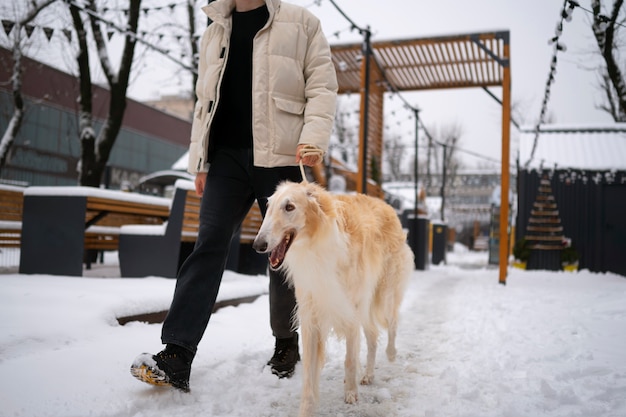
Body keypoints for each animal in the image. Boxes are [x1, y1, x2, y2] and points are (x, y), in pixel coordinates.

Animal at [251, 180, 412, 414]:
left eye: (289, 207)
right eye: (269, 206)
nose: (258, 245)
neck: (316, 245)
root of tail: (387, 205)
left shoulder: (349, 310)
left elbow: (350, 360)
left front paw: (351, 394)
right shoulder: (311, 316)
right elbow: (309, 375)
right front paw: (306, 409)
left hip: (384, 292)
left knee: (392, 322)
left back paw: (391, 354)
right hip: (365, 304)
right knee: (373, 336)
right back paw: (368, 375)